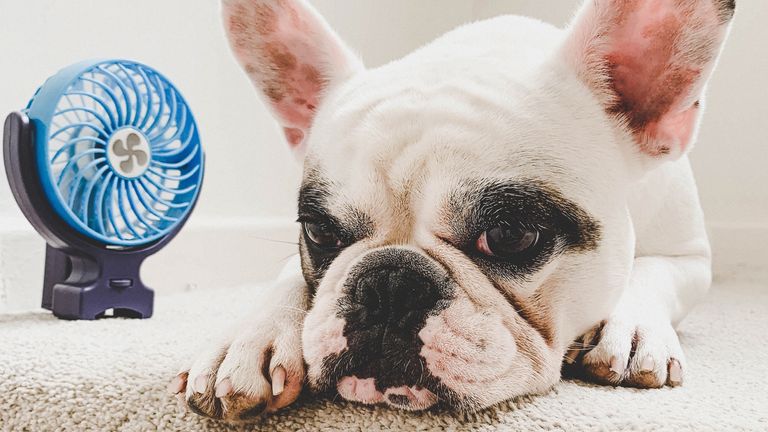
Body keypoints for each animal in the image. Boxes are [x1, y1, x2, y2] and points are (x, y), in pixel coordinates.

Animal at [170, 0, 736, 420]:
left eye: (510, 235)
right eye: (320, 232)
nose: (389, 282)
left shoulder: (691, 258)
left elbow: (651, 274)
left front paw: (633, 331)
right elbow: (290, 276)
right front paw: (250, 340)